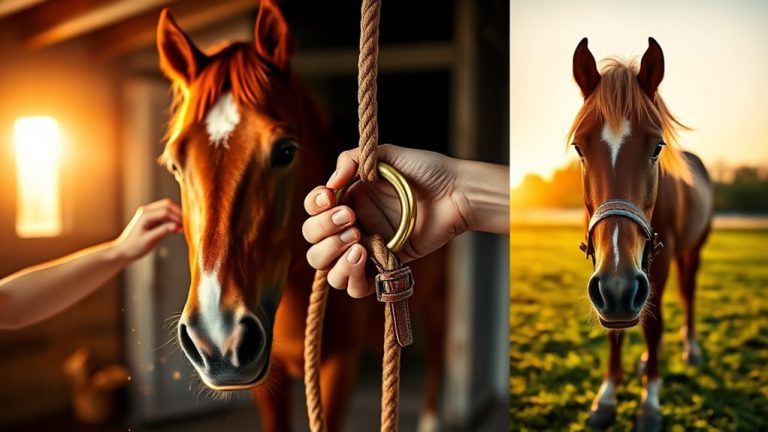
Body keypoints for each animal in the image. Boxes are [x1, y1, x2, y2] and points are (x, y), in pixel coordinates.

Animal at [568, 38, 713, 431]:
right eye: (579, 147)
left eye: (657, 146)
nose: (619, 283)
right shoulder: (609, 274)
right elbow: (619, 327)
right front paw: (607, 397)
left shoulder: (647, 268)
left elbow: (654, 324)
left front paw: (650, 402)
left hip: (692, 250)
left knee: (688, 293)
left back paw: (690, 348)